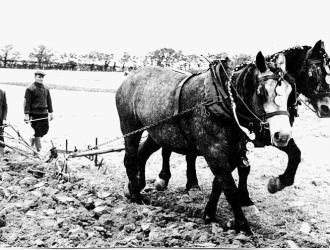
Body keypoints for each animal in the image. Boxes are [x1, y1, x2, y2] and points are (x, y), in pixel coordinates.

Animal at [115, 51, 294, 233]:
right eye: (261, 92)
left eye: (290, 93)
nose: (283, 135)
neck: (223, 100)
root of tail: (132, 75)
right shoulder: (213, 152)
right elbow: (229, 188)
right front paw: (244, 227)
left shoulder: (234, 150)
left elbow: (219, 183)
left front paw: (209, 214)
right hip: (130, 127)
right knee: (130, 158)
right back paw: (136, 196)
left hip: (158, 133)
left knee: (142, 154)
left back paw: (136, 186)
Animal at [157, 40, 330, 214]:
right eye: (313, 73)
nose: (326, 108)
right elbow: (238, 170)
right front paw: (245, 198)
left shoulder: (268, 137)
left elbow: (295, 154)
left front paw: (272, 185)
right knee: (167, 149)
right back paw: (165, 178)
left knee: (189, 154)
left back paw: (192, 184)